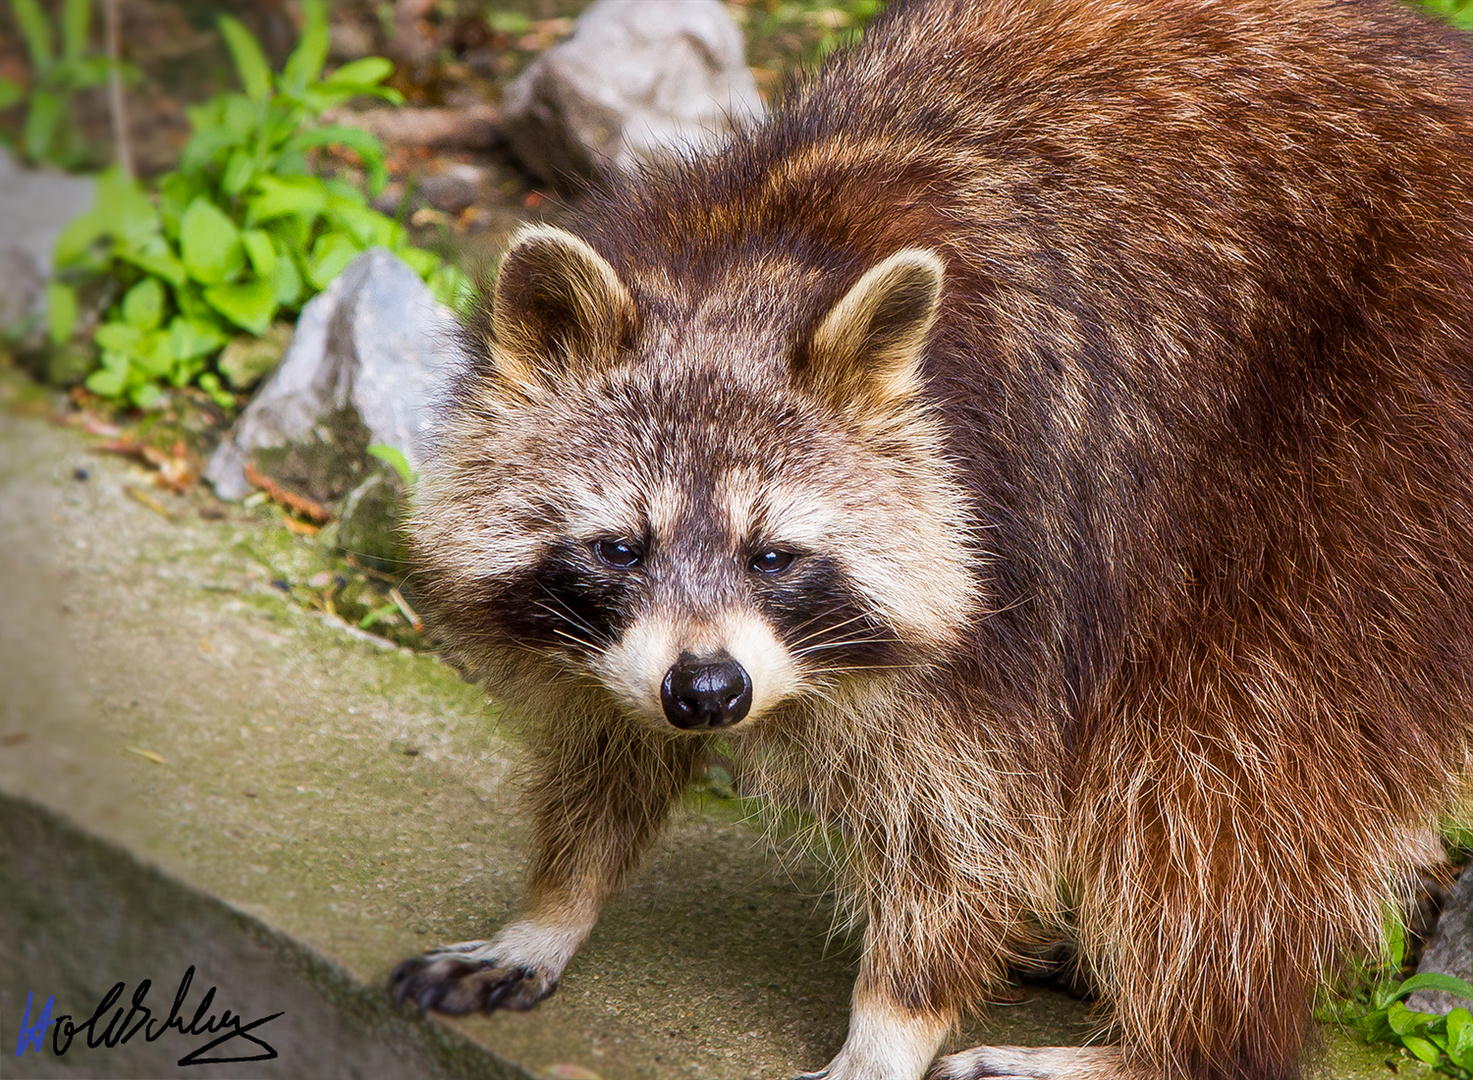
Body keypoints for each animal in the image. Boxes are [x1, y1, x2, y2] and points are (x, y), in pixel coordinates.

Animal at [388, 0, 1473, 1072]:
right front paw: (558, 901)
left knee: (1228, 758)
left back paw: (1184, 1041)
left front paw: (892, 1018)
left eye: (773, 556)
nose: (707, 693)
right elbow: (609, 737)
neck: (746, 259)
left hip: (1370, 461)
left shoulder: (1015, 548)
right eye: (620, 547)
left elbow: (971, 820)